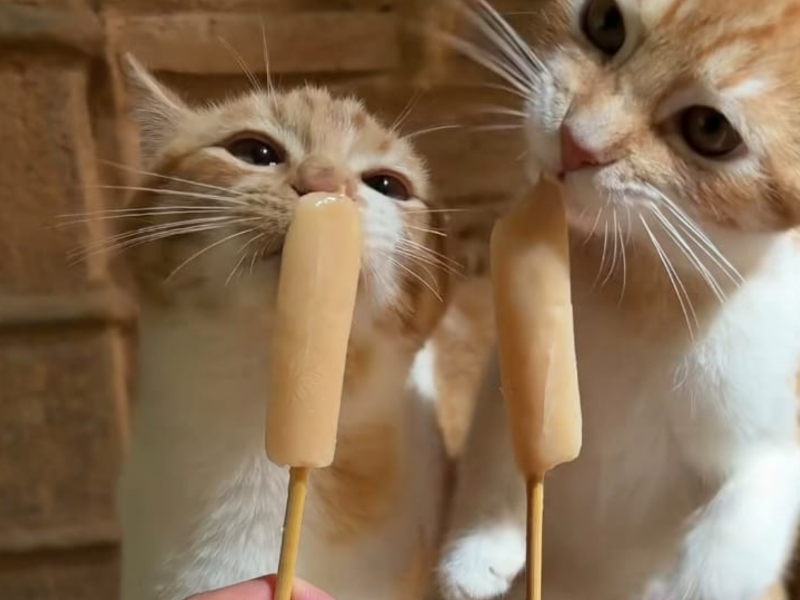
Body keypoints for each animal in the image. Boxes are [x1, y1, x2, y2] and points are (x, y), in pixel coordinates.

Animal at [440, 1, 800, 600]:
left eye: (710, 129)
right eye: (605, 22)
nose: (576, 143)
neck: (649, 283)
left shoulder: (775, 445)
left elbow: (729, 550)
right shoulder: (515, 364)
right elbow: (500, 436)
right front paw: (478, 546)